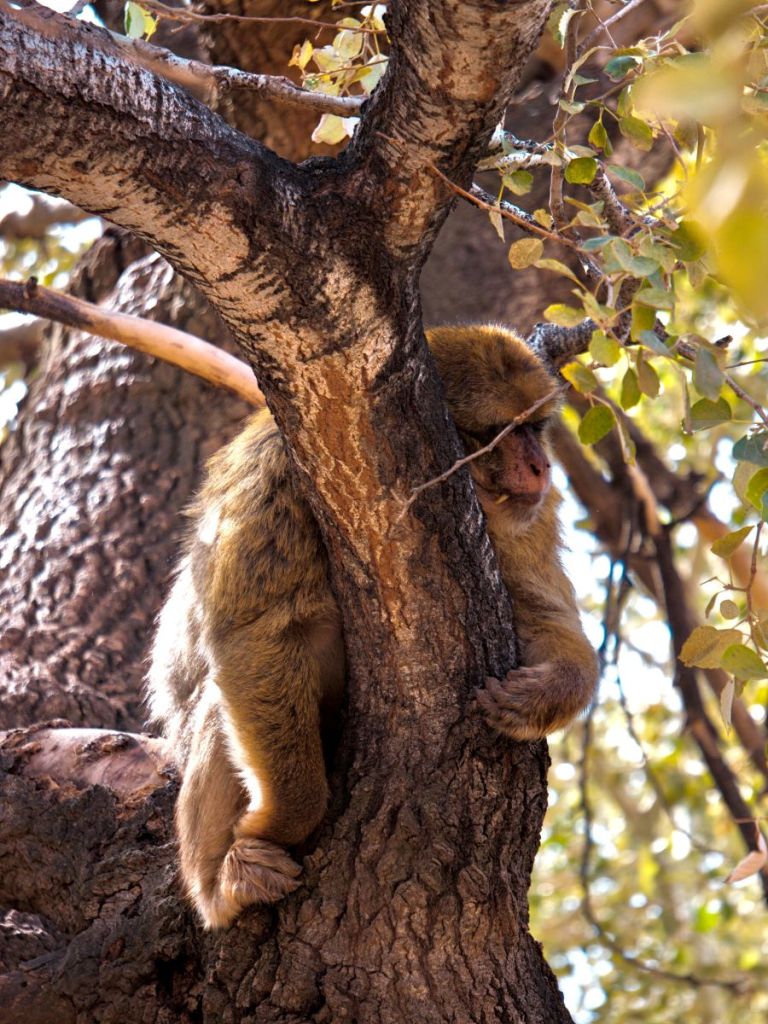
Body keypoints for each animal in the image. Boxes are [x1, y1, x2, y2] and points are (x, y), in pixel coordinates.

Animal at [147, 324, 598, 929]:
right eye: (498, 434)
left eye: (533, 428)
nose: (542, 467)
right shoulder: (280, 478)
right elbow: (253, 636)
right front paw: (280, 823)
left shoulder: (530, 516)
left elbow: (541, 609)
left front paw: (543, 695)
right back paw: (220, 887)